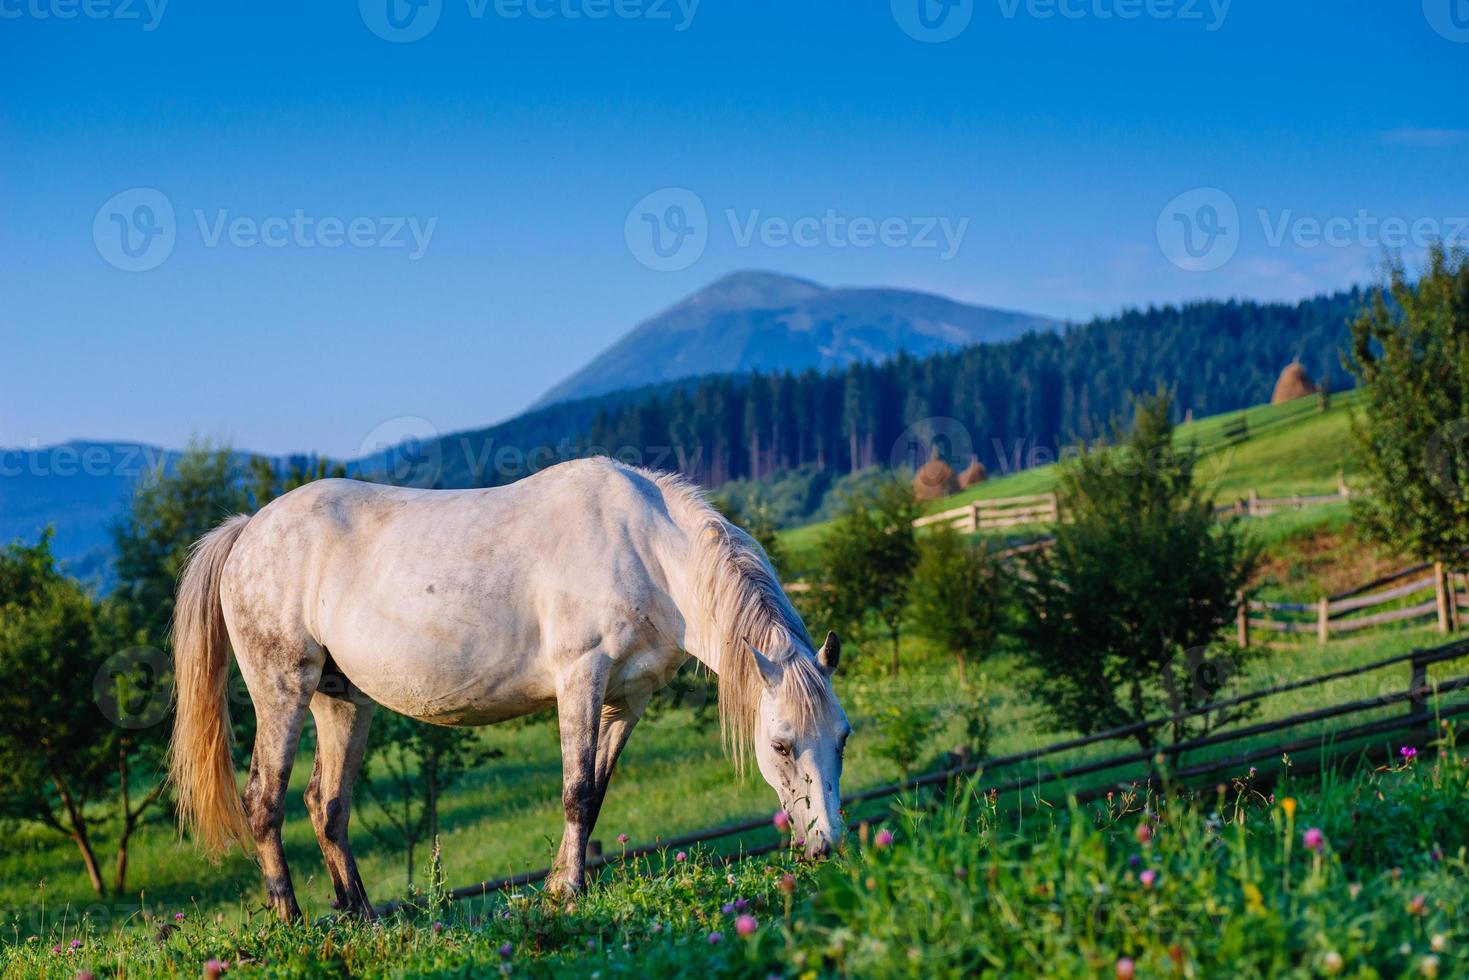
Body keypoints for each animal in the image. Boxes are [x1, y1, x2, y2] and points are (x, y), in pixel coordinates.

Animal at [170, 458, 852, 922]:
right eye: (782, 744)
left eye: (842, 739)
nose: (826, 846)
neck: (646, 549)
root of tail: (248, 529)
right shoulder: (581, 681)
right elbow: (577, 792)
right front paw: (571, 891)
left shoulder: (625, 703)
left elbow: (596, 794)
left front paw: (558, 887)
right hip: (281, 692)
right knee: (264, 800)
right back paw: (291, 919)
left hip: (341, 701)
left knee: (326, 804)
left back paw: (360, 915)